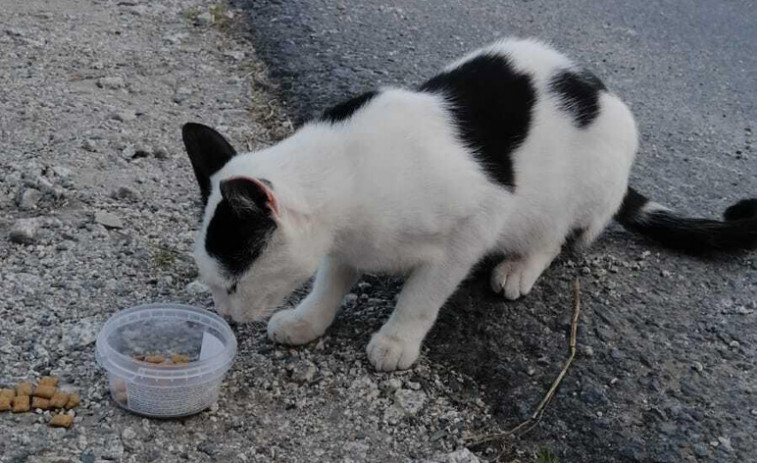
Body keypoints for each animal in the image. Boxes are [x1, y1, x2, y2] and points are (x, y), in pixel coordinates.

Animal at [183, 39, 756, 374]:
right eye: (214, 284)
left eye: (232, 282)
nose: (227, 317)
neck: (346, 170)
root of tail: (604, 93)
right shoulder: (344, 244)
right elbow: (329, 281)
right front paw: (308, 320)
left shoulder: (476, 223)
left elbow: (423, 294)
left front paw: (397, 339)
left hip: (576, 187)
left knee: (556, 237)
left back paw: (520, 266)